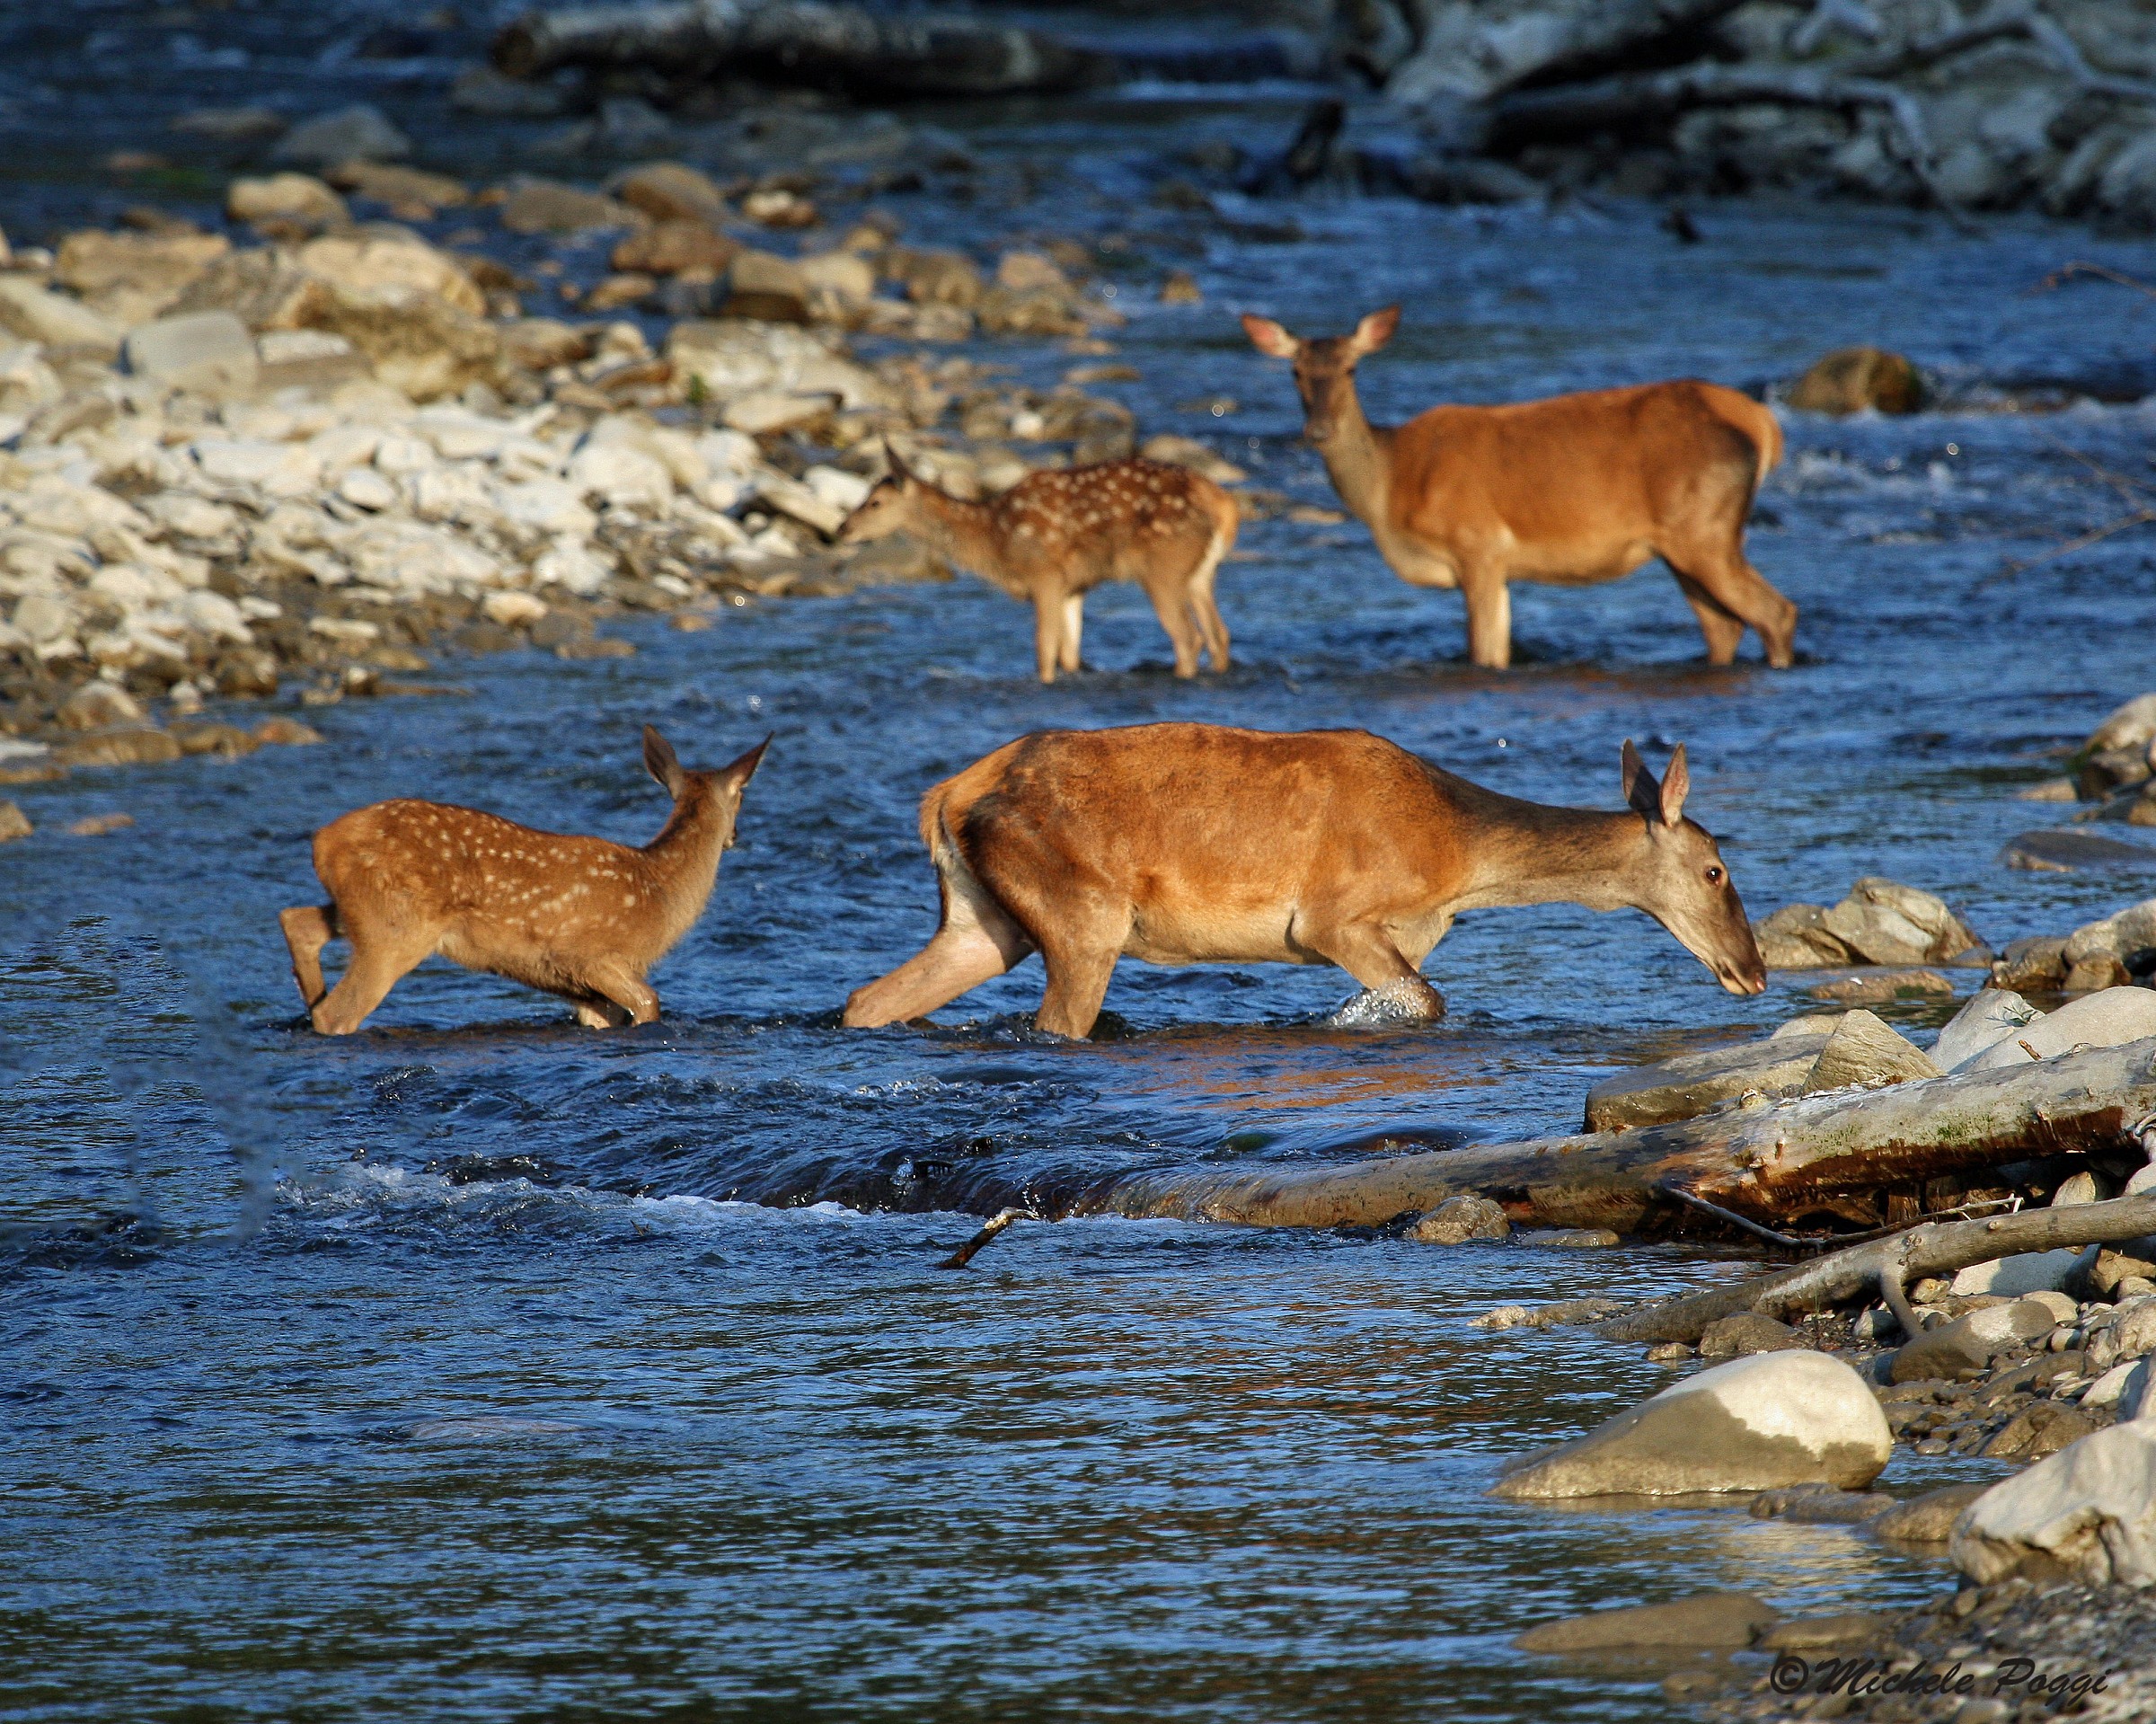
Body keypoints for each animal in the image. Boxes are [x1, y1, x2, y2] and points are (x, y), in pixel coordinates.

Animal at [278, 727, 768, 1035]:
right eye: (743, 796)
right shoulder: (590, 955)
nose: (736, 835)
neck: (661, 893)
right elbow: (649, 1002)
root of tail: (323, 841)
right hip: (395, 930)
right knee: (339, 1012)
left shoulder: (583, 990)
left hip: (364, 911)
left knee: (297, 920)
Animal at [835, 448, 1237, 684]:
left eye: (875, 502)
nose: (842, 529)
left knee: (1188, 637)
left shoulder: (1044, 574)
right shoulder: (1072, 586)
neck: (997, 541)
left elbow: (1044, 648)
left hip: (1163, 566)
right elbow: (1069, 654)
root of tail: (1222, 505)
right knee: (1219, 635)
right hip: (1200, 573)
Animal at [842, 722, 1765, 1040]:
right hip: (1084, 912)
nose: (1753, 970)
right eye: (1717, 868)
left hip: (983, 918)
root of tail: (947, 794)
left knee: (872, 996)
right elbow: (1426, 1000)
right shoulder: (1331, 918)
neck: (1459, 861)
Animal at [1242, 306, 1797, 671]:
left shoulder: (1478, 544)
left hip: (1704, 526)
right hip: (1682, 542)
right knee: (1724, 624)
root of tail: (1761, 424)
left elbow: (1485, 652)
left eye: (1351, 368)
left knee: (1775, 612)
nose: (1317, 431)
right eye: (1294, 371)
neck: (1390, 488)